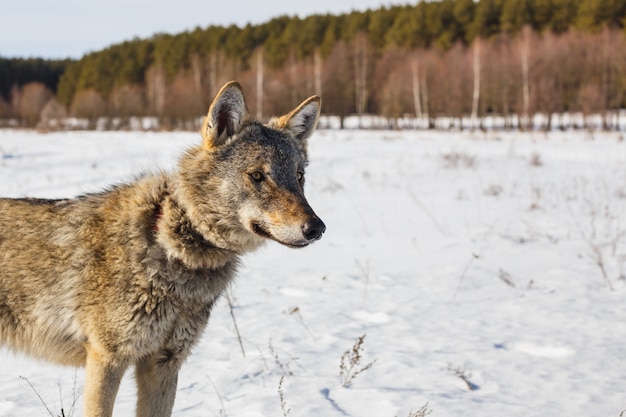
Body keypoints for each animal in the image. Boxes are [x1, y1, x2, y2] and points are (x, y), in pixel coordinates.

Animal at [0, 81, 322, 416]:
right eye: (257, 175)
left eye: (299, 177)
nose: (316, 228)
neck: (168, 246)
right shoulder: (107, 358)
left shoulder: (165, 362)